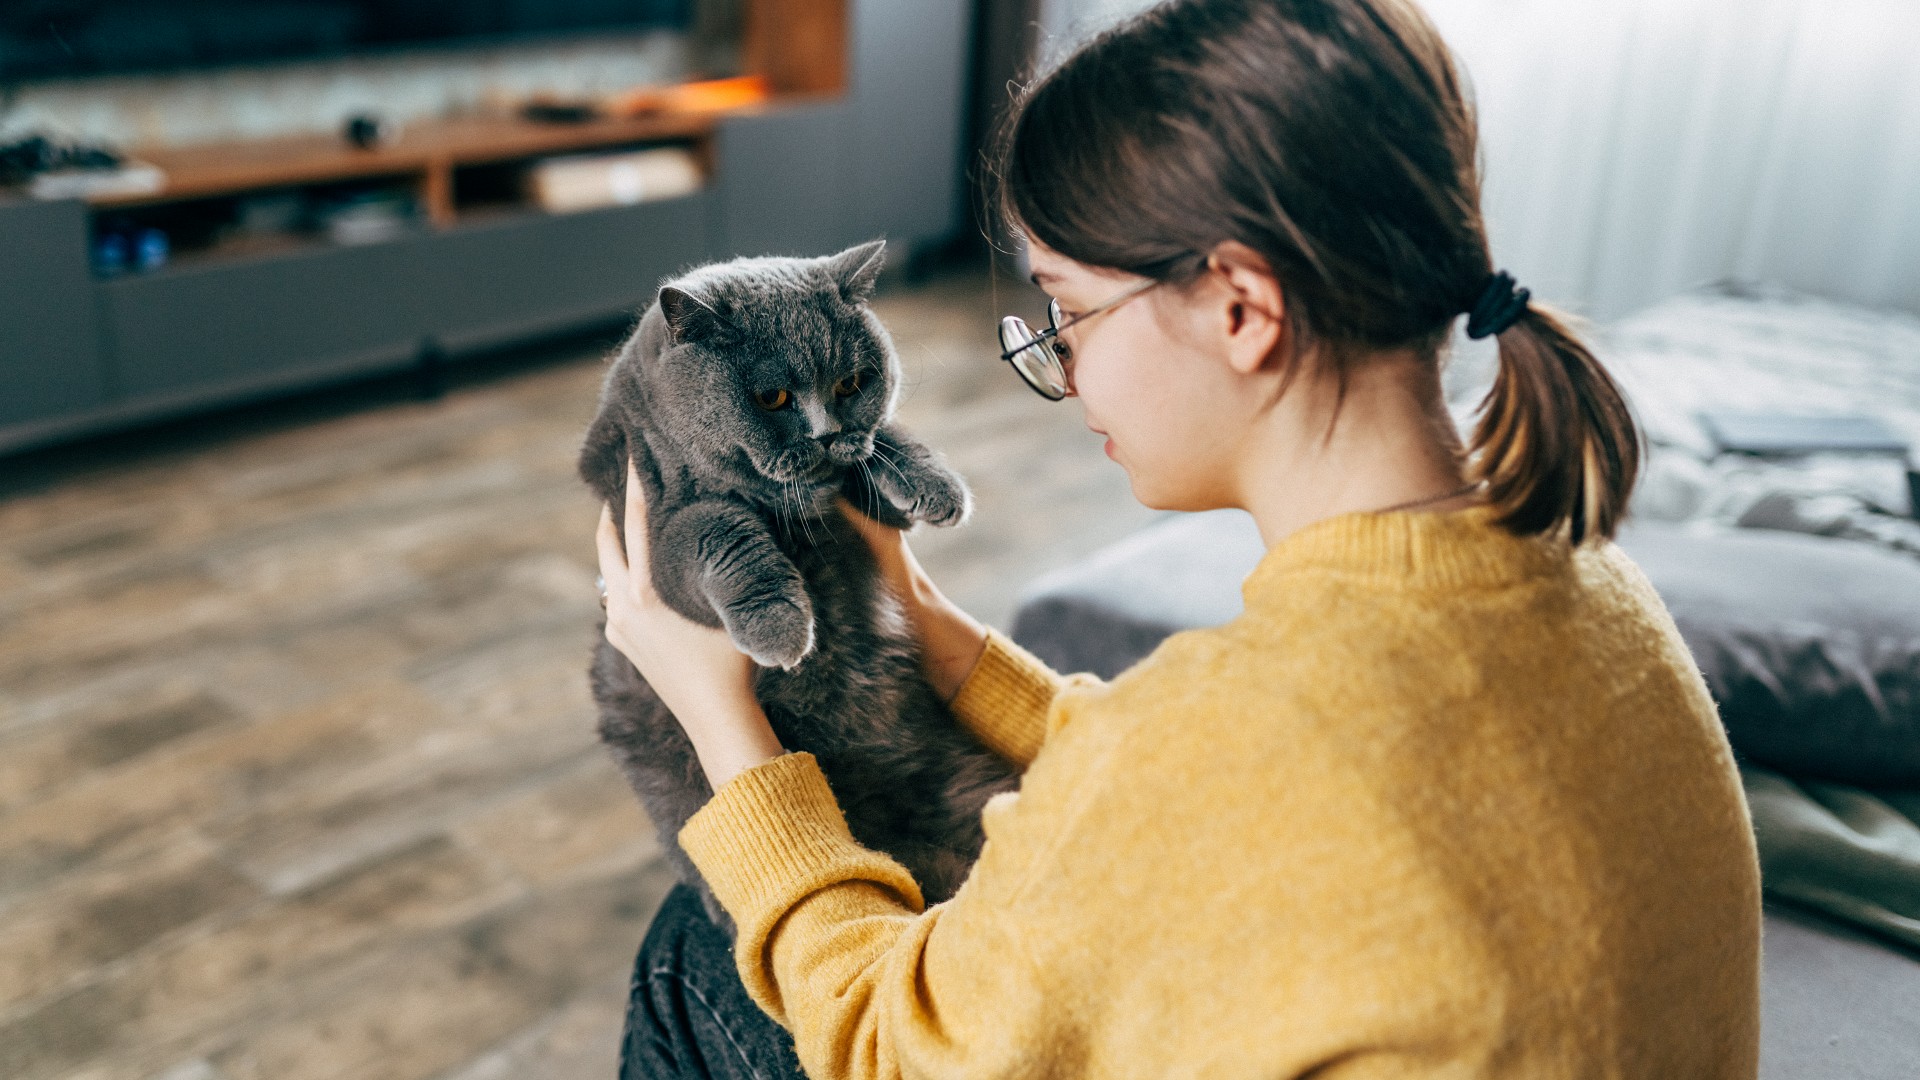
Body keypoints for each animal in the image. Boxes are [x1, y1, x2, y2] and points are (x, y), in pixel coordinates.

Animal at [579, 239, 1029, 930]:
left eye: (851, 383)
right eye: (771, 397)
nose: (826, 433)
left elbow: (883, 446)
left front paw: (935, 486)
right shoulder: (653, 540)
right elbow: (721, 530)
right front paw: (782, 629)